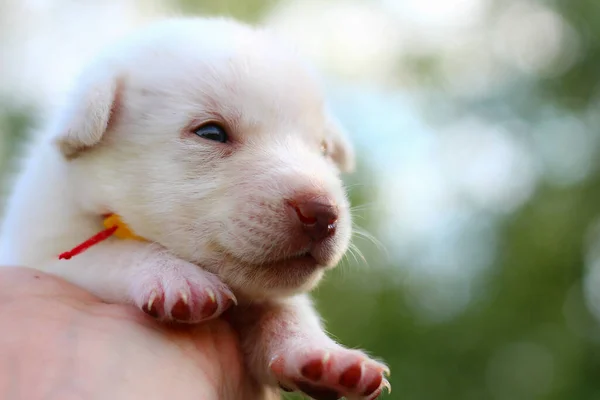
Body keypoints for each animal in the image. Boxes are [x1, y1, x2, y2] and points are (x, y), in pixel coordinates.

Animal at [0, 17, 392, 398]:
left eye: (323, 149)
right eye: (211, 133)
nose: (324, 214)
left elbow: (287, 308)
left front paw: (321, 353)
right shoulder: (40, 253)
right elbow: (113, 251)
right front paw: (175, 275)